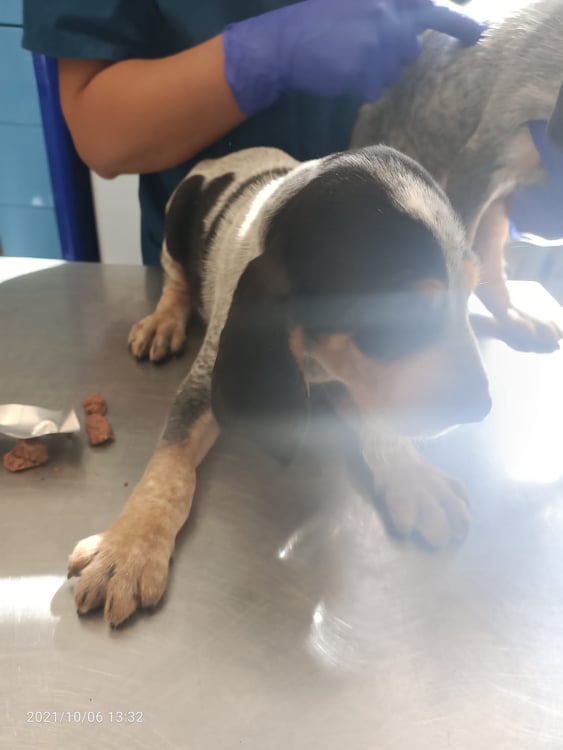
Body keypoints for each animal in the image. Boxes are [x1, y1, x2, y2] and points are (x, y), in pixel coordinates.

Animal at [68, 146, 491, 627]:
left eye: (471, 293)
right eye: (399, 314)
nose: (482, 407)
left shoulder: (353, 376)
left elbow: (380, 420)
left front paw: (414, 476)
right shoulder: (206, 380)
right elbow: (169, 470)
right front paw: (129, 548)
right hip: (175, 224)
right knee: (175, 280)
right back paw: (164, 321)